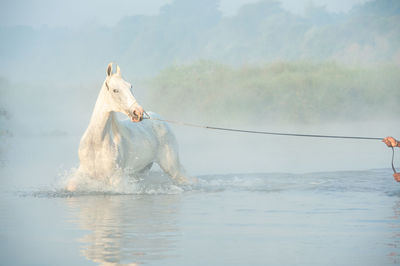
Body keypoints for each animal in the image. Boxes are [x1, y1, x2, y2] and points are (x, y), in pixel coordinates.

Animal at [66, 62, 190, 191]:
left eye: (130, 86)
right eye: (115, 90)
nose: (138, 112)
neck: (97, 143)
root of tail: (160, 119)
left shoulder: (116, 178)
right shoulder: (84, 172)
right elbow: (71, 186)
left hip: (172, 167)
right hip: (142, 170)